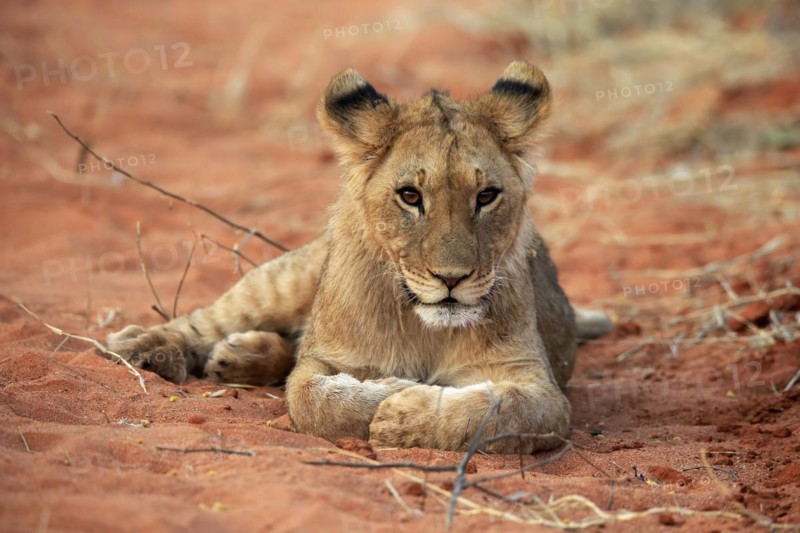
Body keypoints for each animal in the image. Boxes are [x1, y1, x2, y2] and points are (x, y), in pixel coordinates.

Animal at [107, 61, 611, 453]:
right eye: (410, 196)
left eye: (486, 196)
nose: (451, 279)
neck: (425, 327)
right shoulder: (322, 357)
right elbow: (314, 399)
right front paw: (395, 392)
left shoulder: (536, 383)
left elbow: (501, 411)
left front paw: (406, 415)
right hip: (287, 279)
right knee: (205, 320)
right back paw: (143, 347)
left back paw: (241, 356)